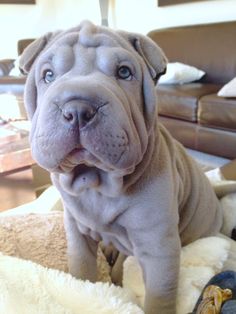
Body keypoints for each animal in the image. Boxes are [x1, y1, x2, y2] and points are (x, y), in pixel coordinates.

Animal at [20, 20, 223, 312]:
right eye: (48, 75)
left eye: (124, 72)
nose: (78, 108)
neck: (96, 181)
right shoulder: (76, 230)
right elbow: (81, 268)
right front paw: (83, 291)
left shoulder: (158, 245)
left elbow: (160, 295)